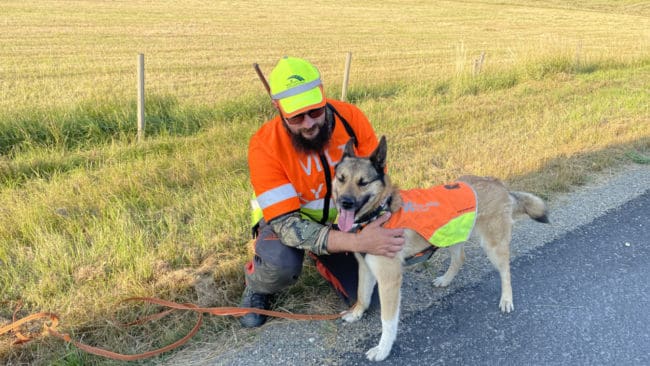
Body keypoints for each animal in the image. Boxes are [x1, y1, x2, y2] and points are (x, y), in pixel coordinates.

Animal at [330, 135, 548, 360]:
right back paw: (445, 280)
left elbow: (387, 321)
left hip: (493, 246)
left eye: (363, 182)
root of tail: (498, 183)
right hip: (451, 236)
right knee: (460, 259)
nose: (344, 202)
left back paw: (506, 299)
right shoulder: (365, 268)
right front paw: (356, 313)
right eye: (341, 178)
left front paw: (383, 349)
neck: (380, 212)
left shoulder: (389, 280)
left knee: (505, 271)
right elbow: (362, 295)